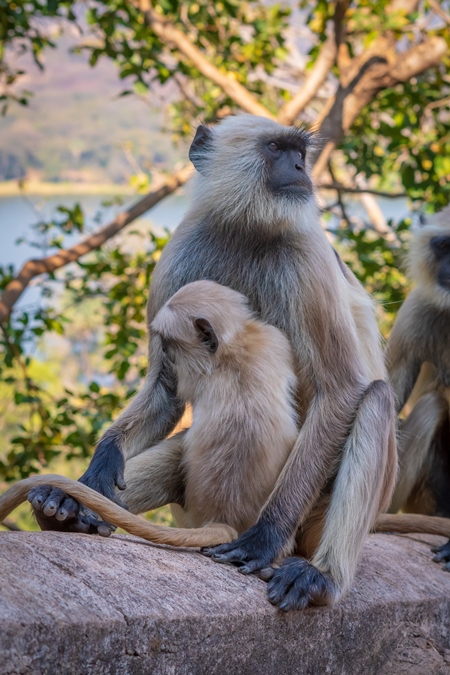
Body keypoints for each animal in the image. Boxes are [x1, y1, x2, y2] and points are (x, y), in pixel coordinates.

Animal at [23, 116, 400, 612]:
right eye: (276, 148)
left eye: (299, 151)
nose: (301, 167)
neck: (247, 228)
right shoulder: (182, 252)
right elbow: (164, 387)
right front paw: (99, 466)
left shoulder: (308, 253)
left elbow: (339, 391)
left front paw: (263, 538)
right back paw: (68, 507)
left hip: (318, 515)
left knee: (374, 398)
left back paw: (321, 577)